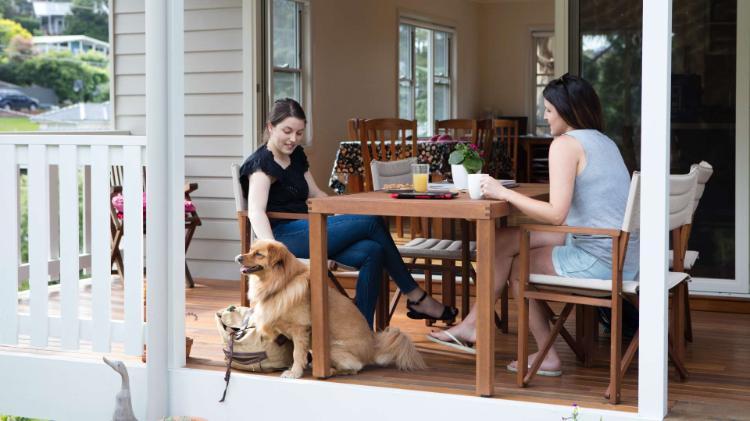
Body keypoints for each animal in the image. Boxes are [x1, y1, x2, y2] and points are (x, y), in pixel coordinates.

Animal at [239, 238, 428, 378]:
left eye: (258, 254)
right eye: (250, 250)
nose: (239, 257)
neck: (282, 283)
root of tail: (372, 351)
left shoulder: (300, 329)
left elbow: (297, 354)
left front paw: (295, 372)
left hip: (332, 347)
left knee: (354, 368)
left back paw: (328, 370)